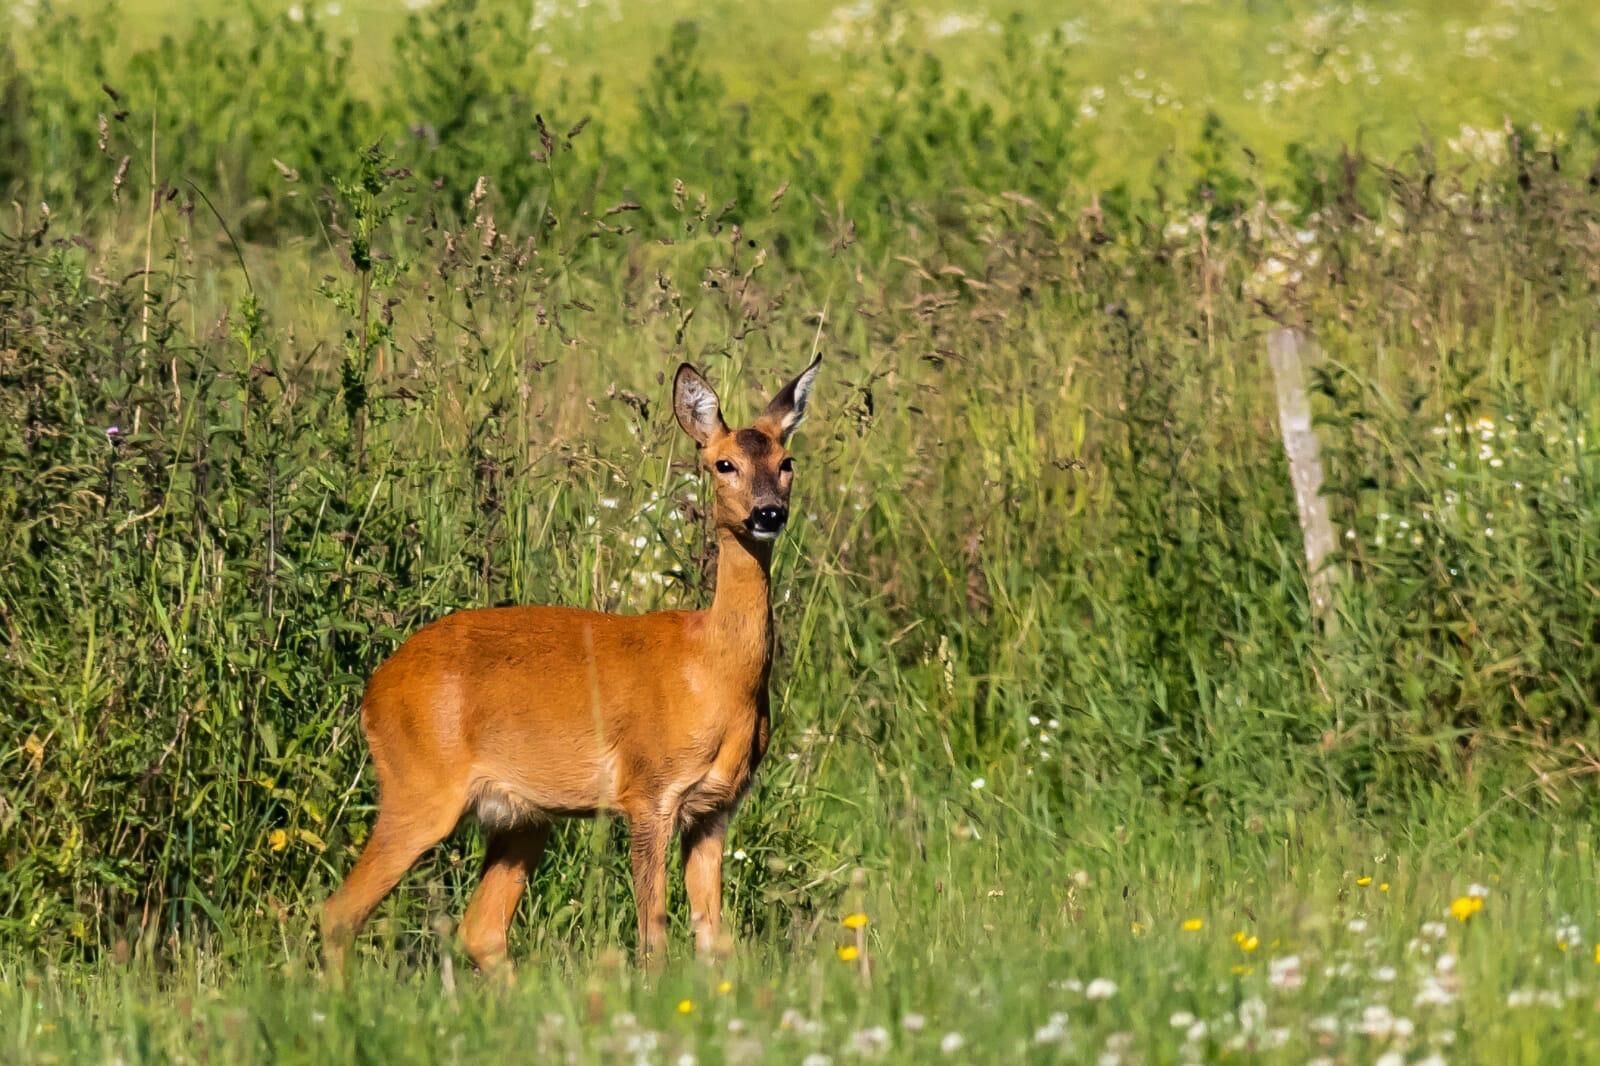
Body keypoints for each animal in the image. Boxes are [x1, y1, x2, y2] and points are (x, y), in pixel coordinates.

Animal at [320, 355, 822, 974]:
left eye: (787, 462)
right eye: (723, 463)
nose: (767, 513)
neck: (714, 672)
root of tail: (374, 689)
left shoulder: (715, 808)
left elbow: (712, 937)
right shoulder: (648, 790)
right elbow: (652, 933)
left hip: (522, 816)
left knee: (480, 929)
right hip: (418, 786)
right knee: (340, 912)